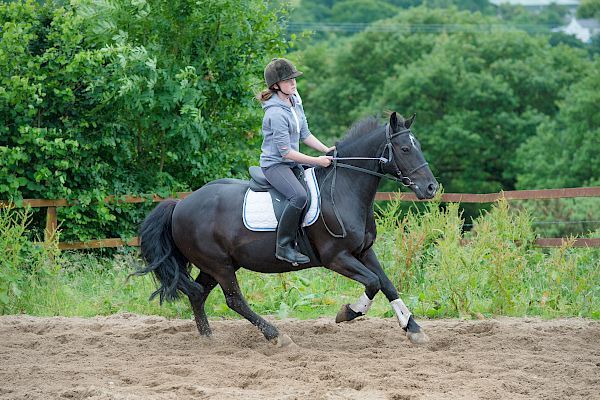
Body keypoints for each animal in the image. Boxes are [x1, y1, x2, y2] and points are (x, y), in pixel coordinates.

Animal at [137, 111, 436, 346]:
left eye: (418, 146)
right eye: (405, 149)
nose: (431, 188)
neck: (344, 189)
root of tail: (180, 204)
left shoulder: (363, 252)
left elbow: (386, 284)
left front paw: (413, 329)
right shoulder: (336, 258)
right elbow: (373, 283)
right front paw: (348, 313)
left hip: (215, 265)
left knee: (198, 294)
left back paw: (208, 339)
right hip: (219, 264)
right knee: (233, 300)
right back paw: (276, 336)